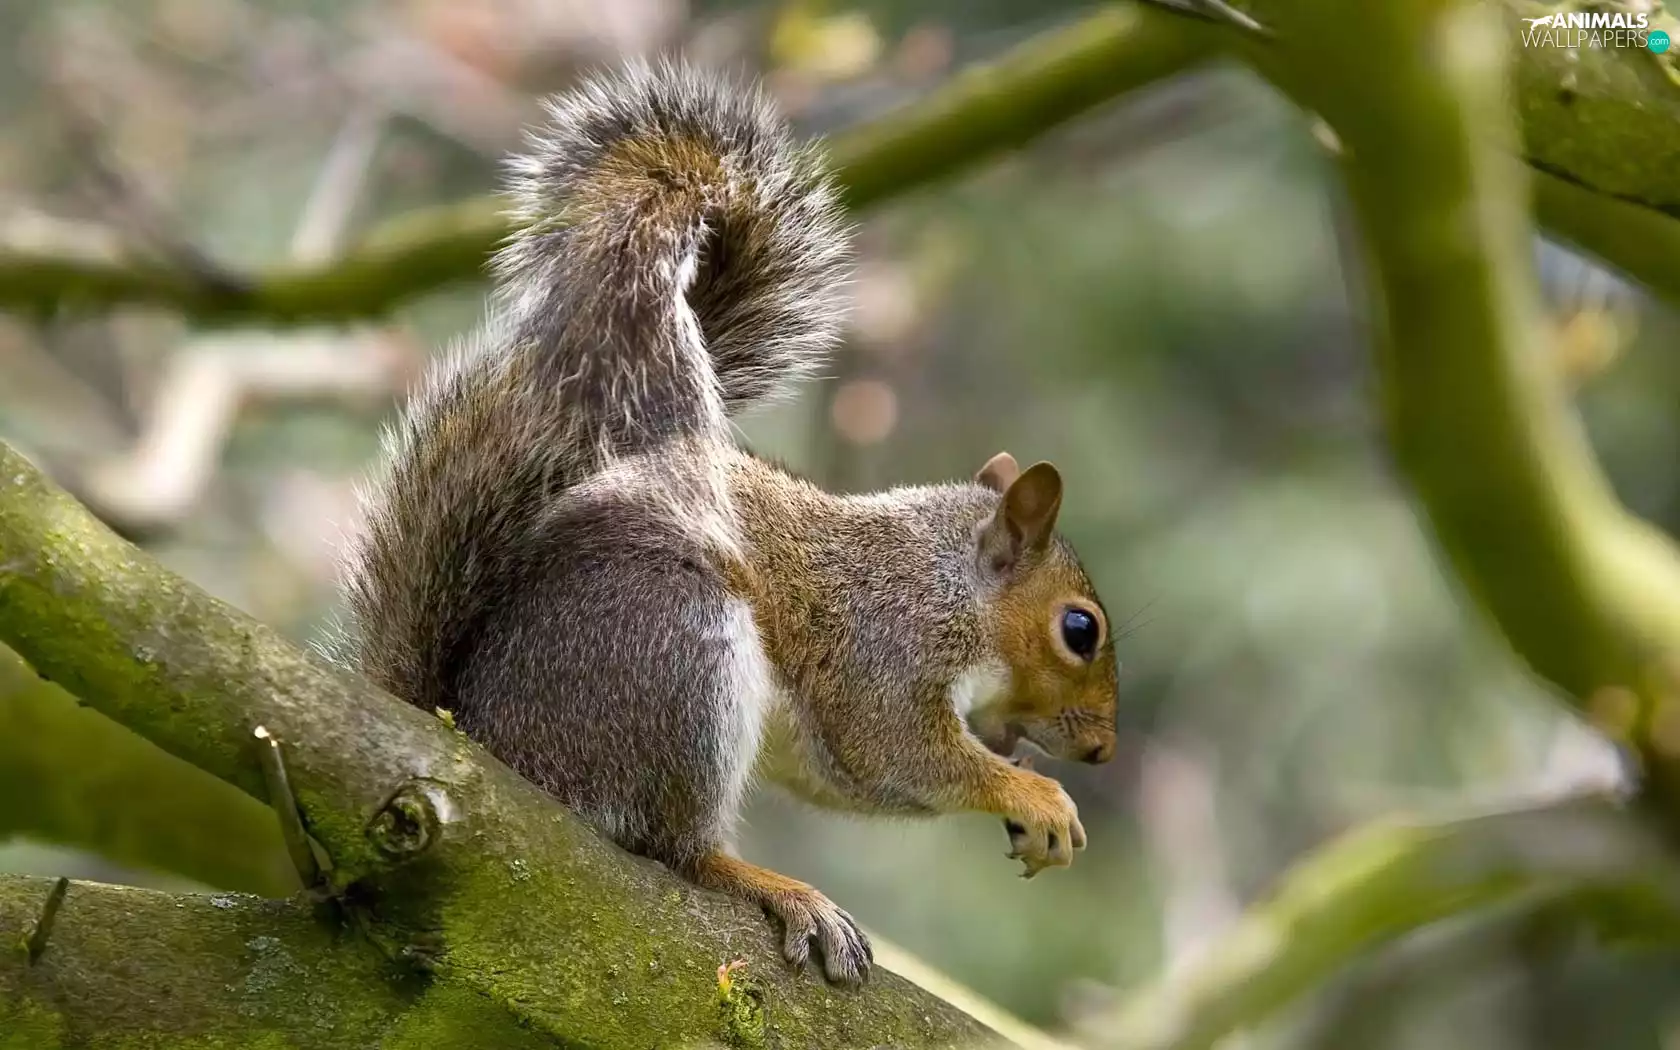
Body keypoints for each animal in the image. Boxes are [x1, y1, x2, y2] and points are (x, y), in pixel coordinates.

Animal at [333, 61, 1120, 986]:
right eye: (1079, 630)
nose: (1102, 752)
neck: (945, 580)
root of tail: (485, 739)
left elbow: (853, 777)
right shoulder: (884, 649)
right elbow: (897, 753)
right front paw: (1034, 792)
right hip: (679, 655)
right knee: (672, 848)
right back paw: (771, 885)